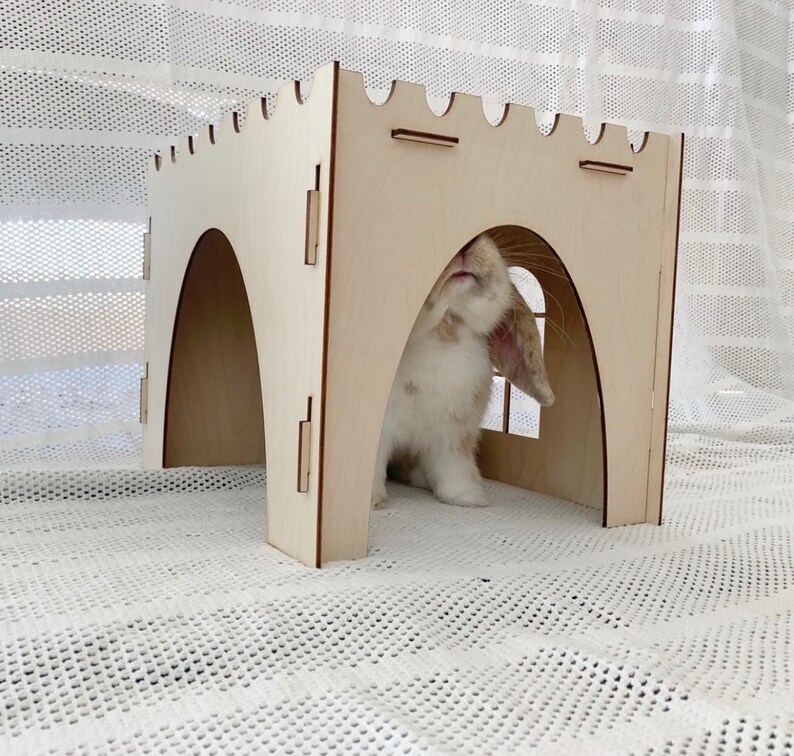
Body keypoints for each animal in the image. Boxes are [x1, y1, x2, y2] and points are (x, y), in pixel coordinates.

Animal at [371, 233, 555, 509]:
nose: (467, 246)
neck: (445, 328)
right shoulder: (382, 431)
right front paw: (373, 501)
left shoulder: (454, 434)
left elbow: (452, 467)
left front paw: (467, 498)